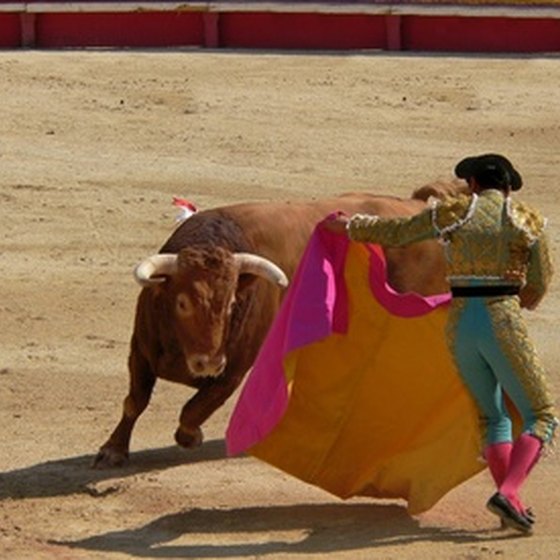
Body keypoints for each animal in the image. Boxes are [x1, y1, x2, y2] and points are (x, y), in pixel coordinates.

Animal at [94, 189, 458, 468]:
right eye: (182, 302)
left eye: (231, 304)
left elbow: (195, 408)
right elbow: (135, 401)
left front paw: (190, 437)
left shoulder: (234, 370)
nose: (207, 363)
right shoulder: (140, 351)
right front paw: (113, 450)